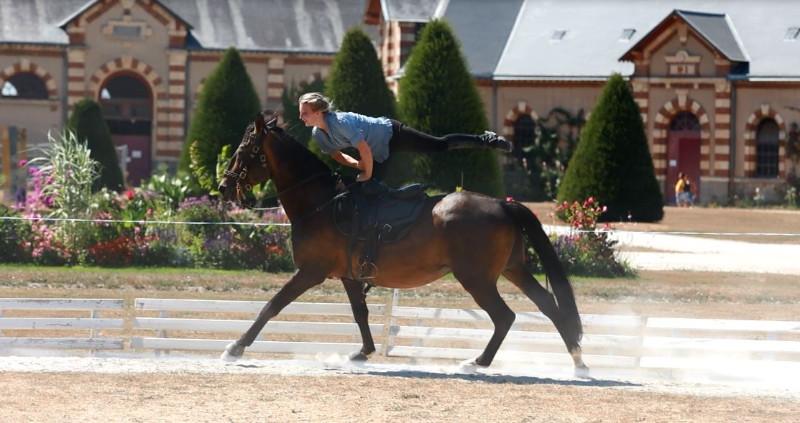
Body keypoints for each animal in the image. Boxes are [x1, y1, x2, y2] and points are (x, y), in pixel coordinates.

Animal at [219, 114, 588, 372]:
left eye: (245, 151)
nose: (223, 188)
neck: (320, 202)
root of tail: (502, 203)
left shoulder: (310, 272)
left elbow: (272, 305)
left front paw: (235, 347)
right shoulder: (349, 275)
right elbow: (360, 313)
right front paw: (363, 352)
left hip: (477, 279)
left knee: (505, 316)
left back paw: (479, 362)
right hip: (514, 269)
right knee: (548, 306)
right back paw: (577, 360)